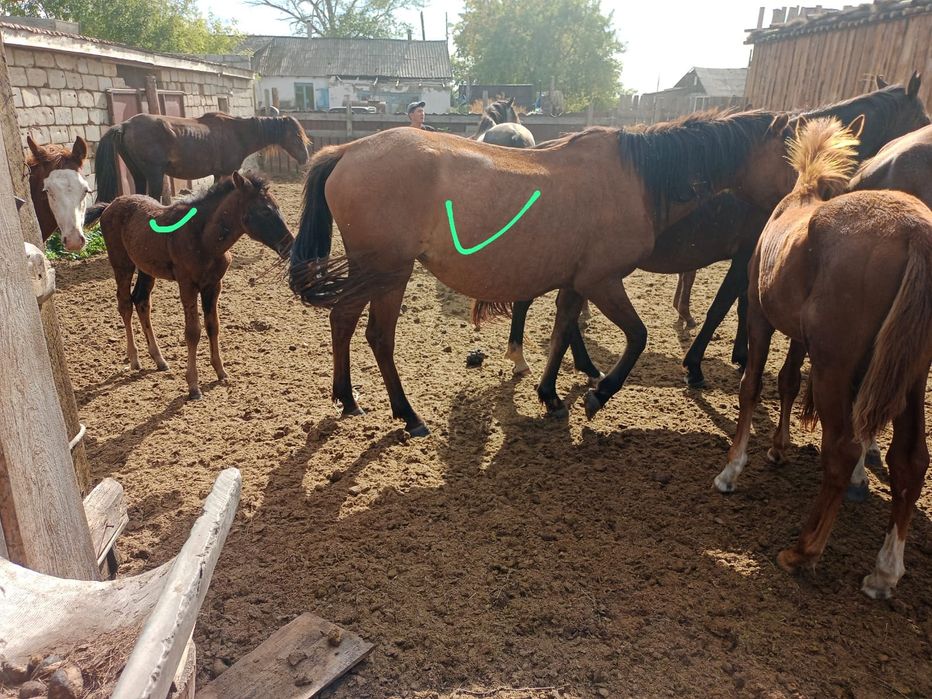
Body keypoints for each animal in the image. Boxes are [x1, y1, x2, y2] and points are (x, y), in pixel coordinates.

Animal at [85, 171, 294, 400]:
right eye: (265, 211)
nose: (290, 245)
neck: (204, 239)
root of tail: (109, 205)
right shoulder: (187, 285)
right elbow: (193, 332)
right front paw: (193, 386)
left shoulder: (213, 285)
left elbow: (213, 326)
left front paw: (220, 372)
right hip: (122, 264)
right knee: (124, 304)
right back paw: (134, 359)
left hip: (146, 269)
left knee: (141, 301)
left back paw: (159, 359)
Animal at [94, 112, 310, 204]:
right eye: (297, 136)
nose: (305, 158)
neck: (238, 133)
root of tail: (126, 125)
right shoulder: (227, 173)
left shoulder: (218, 174)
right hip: (154, 175)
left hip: (138, 174)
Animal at [290, 109, 795, 436]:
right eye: (792, 155)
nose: (796, 210)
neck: (636, 178)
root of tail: (347, 150)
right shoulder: (601, 281)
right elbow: (637, 336)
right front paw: (599, 393)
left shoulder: (575, 283)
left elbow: (562, 332)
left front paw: (550, 394)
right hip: (388, 272)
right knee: (378, 336)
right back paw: (407, 414)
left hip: (370, 271)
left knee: (342, 320)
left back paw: (348, 399)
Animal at [491, 75, 930, 388]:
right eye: (924, 117)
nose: (815, 214)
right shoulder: (745, 254)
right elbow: (724, 306)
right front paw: (697, 365)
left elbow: (742, 305)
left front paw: (739, 355)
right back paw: (528, 359)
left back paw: (580, 365)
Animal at [712, 116, 932, 599]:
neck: (802, 194)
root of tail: (915, 231)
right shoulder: (800, 337)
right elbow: (788, 381)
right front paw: (778, 448)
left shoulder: (759, 318)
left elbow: (751, 387)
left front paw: (733, 469)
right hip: (909, 375)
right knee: (910, 461)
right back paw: (884, 572)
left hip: (836, 366)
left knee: (843, 450)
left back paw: (803, 551)